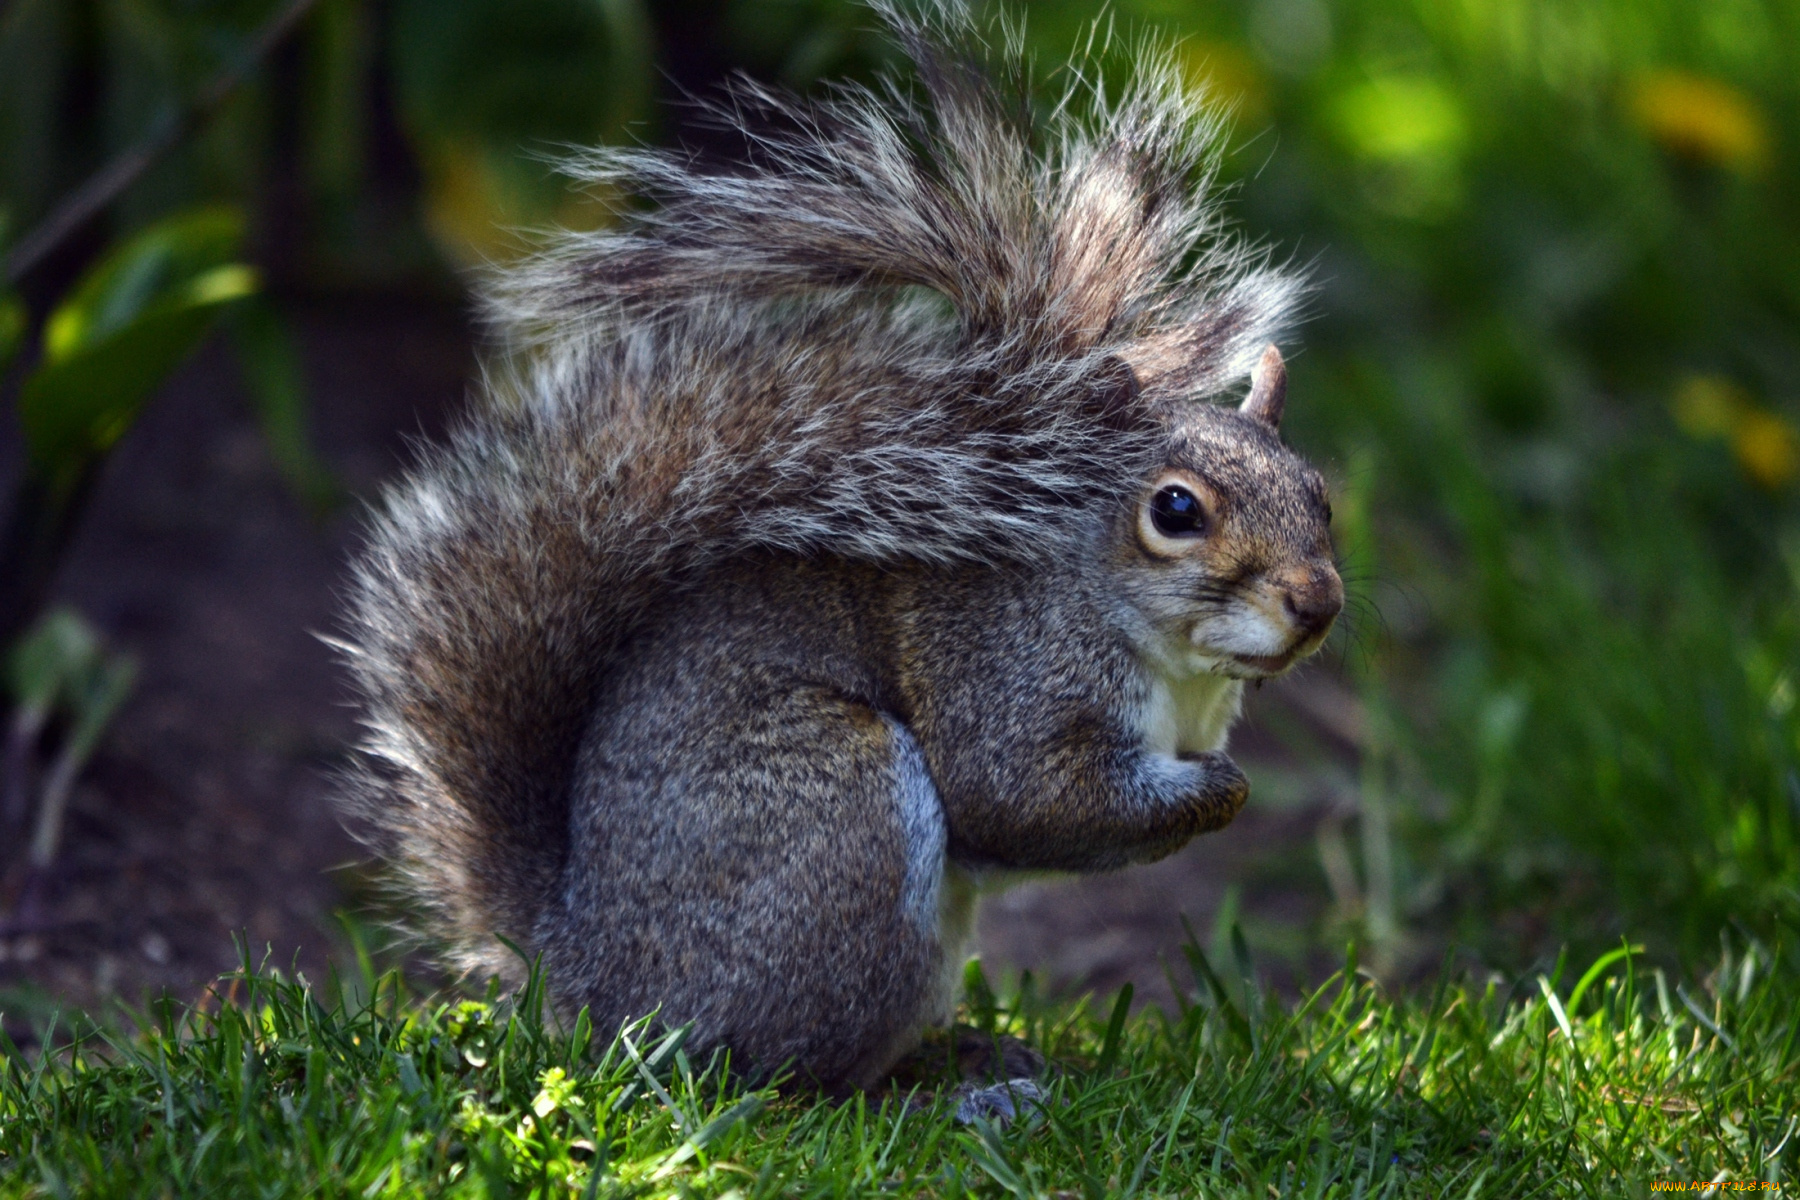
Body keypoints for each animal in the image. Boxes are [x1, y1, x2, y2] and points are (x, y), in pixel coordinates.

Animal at [343, 2, 1346, 1086]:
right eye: (1174, 511)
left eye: (1321, 497)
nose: (1317, 603)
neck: (1170, 659)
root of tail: (586, 973)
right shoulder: (1001, 673)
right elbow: (1023, 798)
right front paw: (1220, 793)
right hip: (838, 809)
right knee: (783, 1069)